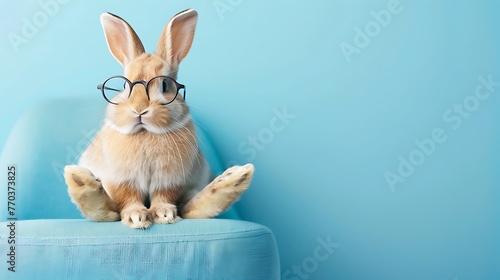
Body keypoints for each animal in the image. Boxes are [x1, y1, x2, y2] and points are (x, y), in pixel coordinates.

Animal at [63, 8, 254, 229]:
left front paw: (164, 214)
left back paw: (235, 179)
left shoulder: (170, 180)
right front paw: (136, 217)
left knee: (191, 208)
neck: (146, 133)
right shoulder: (122, 180)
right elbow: (128, 199)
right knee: (107, 211)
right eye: (125, 86)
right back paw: (81, 181)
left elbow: (164, 197)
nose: (139, 110)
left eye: (164, 85)